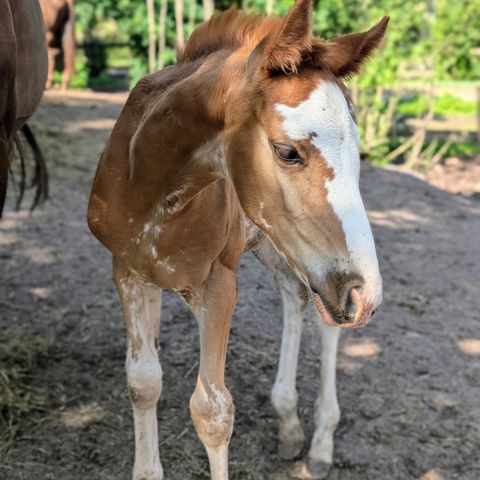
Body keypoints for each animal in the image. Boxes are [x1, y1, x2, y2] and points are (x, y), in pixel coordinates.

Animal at [88, 1, 388, 478]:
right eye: (287, 152)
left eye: (357, 152)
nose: (368, 295)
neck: (149, 187)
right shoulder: (129, 271)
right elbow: (143, 381)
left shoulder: (219, 283)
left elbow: (212, 412)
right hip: (280, 245)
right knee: (296, 297)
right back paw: (288, 423)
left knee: (326, 321)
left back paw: (322, 443)